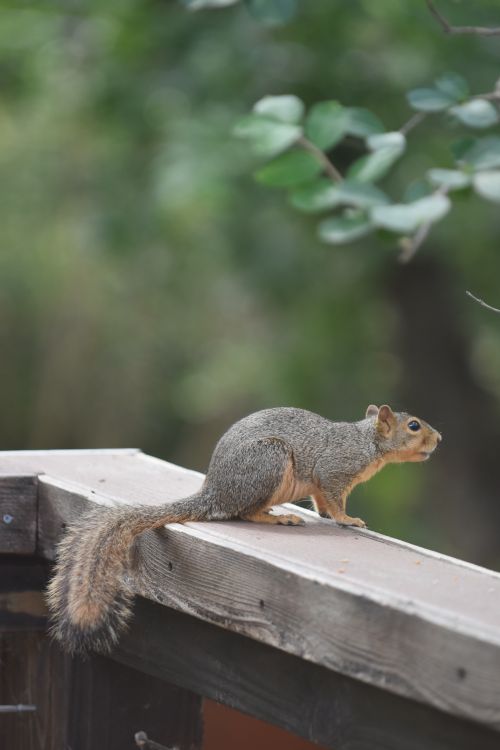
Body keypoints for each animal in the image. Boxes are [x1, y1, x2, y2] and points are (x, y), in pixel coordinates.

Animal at [47, 404, 441, 656]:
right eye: (414, 426)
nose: (439, 438)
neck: (367, 442)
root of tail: (214, 491)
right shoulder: (333, 471)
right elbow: (333, 497)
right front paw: (348, 520)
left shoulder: (320, 484)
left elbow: (321, 501)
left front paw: (328, 516)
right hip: (268, 462)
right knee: (246, 513)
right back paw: (276, 517)